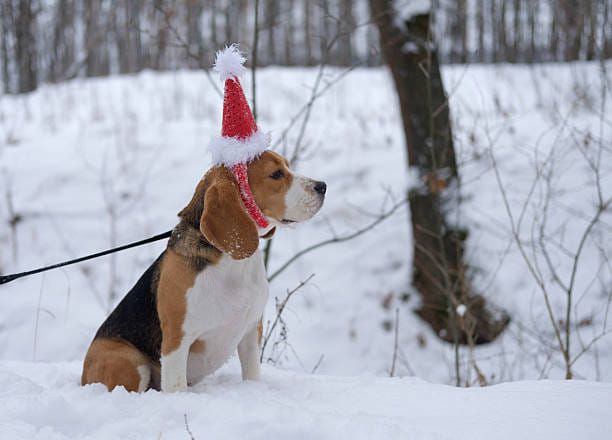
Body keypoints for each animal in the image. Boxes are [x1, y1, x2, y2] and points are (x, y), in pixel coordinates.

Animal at [85, 150, 330, 392]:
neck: (231, 262)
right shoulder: (176, 340)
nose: (322, 186)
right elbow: (176, 386)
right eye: (276, 174)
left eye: (288, 166)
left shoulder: (251, 331)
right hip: (128, 360)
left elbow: (252, 373)